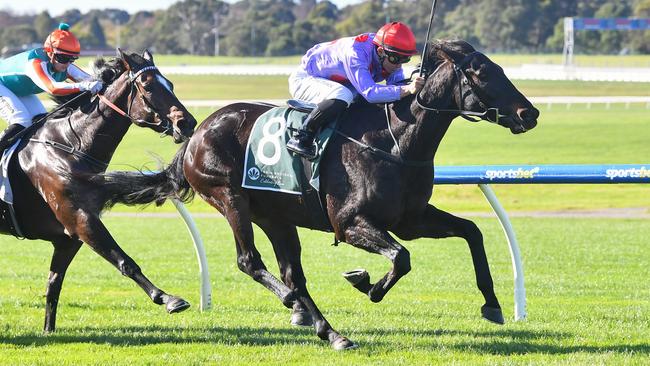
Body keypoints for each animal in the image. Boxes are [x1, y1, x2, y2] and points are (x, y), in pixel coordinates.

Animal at [1, 50, 196, 334]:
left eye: (169, 84)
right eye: (148, 85)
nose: (188, 123)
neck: (69, 147)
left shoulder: (69, 237)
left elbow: (54, 283)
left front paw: (48, 330)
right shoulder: (82, 221)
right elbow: (125, 262)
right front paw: (168, 298)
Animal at [91, 40, 536, 348]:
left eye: (499, 67)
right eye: (481, 73)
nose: (528, 113)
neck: (394, 141)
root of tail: (197, 132)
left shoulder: (411, 219)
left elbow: (471, 232)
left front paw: (492, 305)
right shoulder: (351, 222)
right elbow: (401, 259)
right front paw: (366, 283)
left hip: (276, 216)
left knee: (293, 273)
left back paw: (324, 327)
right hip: (230, 198)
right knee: (251, 262)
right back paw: (297, 306)